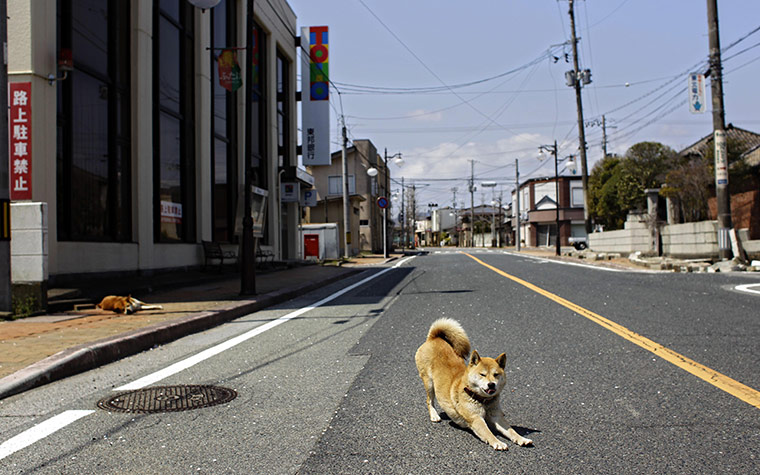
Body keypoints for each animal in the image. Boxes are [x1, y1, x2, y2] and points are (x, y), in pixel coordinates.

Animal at [412, 318, 532, 452]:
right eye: (482, 374)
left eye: (496, 374)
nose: (491, 384)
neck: (483, 401)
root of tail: (433, 338)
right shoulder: (476, 419)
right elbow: (489, 433)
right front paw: (498, 442)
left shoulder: (496, 417)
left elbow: (511, 431)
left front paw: (522, 439)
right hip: (429, 383)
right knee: (429, 400)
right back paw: (434, 415)